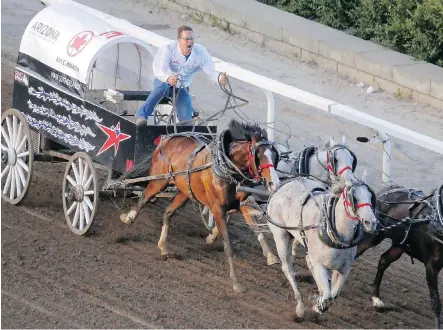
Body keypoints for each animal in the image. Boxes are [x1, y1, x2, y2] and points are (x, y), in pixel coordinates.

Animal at [119, 120, 280, 292]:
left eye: (274, 156)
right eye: (259, 156)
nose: (274, 183)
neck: (225, 167)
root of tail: (167, 139)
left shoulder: (241, 203)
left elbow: (256, 228)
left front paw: (271, 256)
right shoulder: (217, 210)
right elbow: (228, 245)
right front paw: (236, 282)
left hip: (184, 192)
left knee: (168, 212)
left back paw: (163, 246)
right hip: (159, 181)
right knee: (144, 198)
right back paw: (128, 218)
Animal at [268, 175, 378, 318]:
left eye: (370, 196)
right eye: (354, 197)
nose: (371, 222)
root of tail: (282, 185)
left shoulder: (344, 269)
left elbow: (334, 295)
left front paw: (319, 303)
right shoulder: (320, 265)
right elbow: (328, 296)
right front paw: (317, 302)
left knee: (307, 261)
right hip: (281, 235)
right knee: (288, 269)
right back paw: (300, 306)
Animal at [358, 184, 443, 328]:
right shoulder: (432, 266)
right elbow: (435, 302)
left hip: (399, 246)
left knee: (383, 260)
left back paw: (376, 298)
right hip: (373, 236)